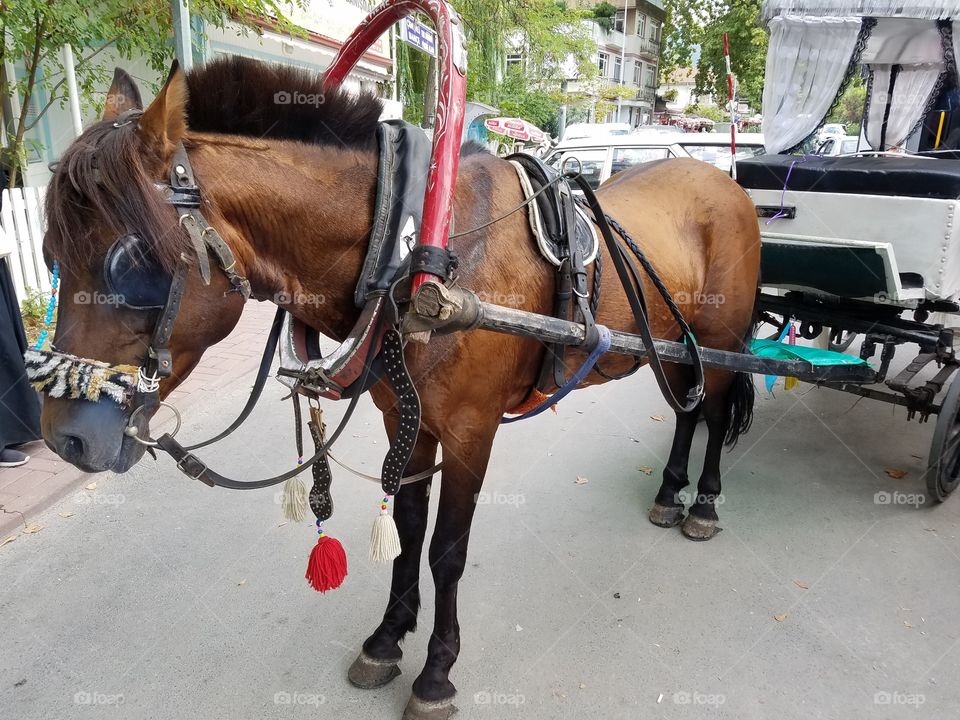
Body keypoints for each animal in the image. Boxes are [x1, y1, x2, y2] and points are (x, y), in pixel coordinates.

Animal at [37, 57, 760, 720]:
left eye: (130, 263)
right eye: (49, 255)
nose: (65, 438)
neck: (412, 259)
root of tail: (722, 178)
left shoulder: (471, 429)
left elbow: (447, 550)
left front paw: (437, 672)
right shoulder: (403, 417)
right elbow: (408, 529)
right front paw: (387, 639)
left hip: (720, 336)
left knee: (716, 408)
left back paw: (704, 503)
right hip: (678, 346)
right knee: (689, 410)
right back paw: (669, 492)